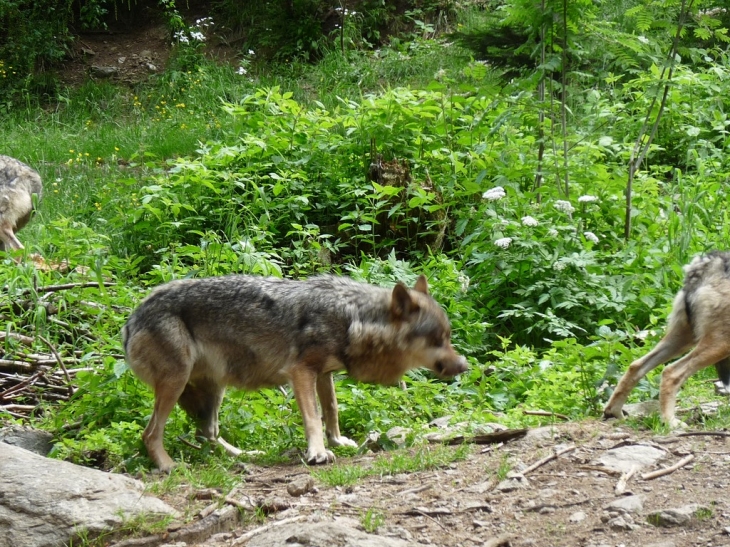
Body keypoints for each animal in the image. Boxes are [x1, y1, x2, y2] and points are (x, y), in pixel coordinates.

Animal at [122, 276, 466, 474]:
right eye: (437, 340)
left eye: (448, 337)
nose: (464, 366)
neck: (353, 318)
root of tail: (130, 320)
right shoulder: (301, 372)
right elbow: (313, 416)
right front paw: (318, 452)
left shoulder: (324, 374)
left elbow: (332, 410)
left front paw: (338, 441)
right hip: (177, 382)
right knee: (150, 434)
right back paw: (168, 465)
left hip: (214, 389)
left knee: (206, 433)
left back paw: (244, 455)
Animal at [600, 253, 728, 428]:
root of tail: (708, 262)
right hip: (718, 344)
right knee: (670, 372)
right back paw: (670, 422)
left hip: (684, 340)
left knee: (636, 365)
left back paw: (614, 412)